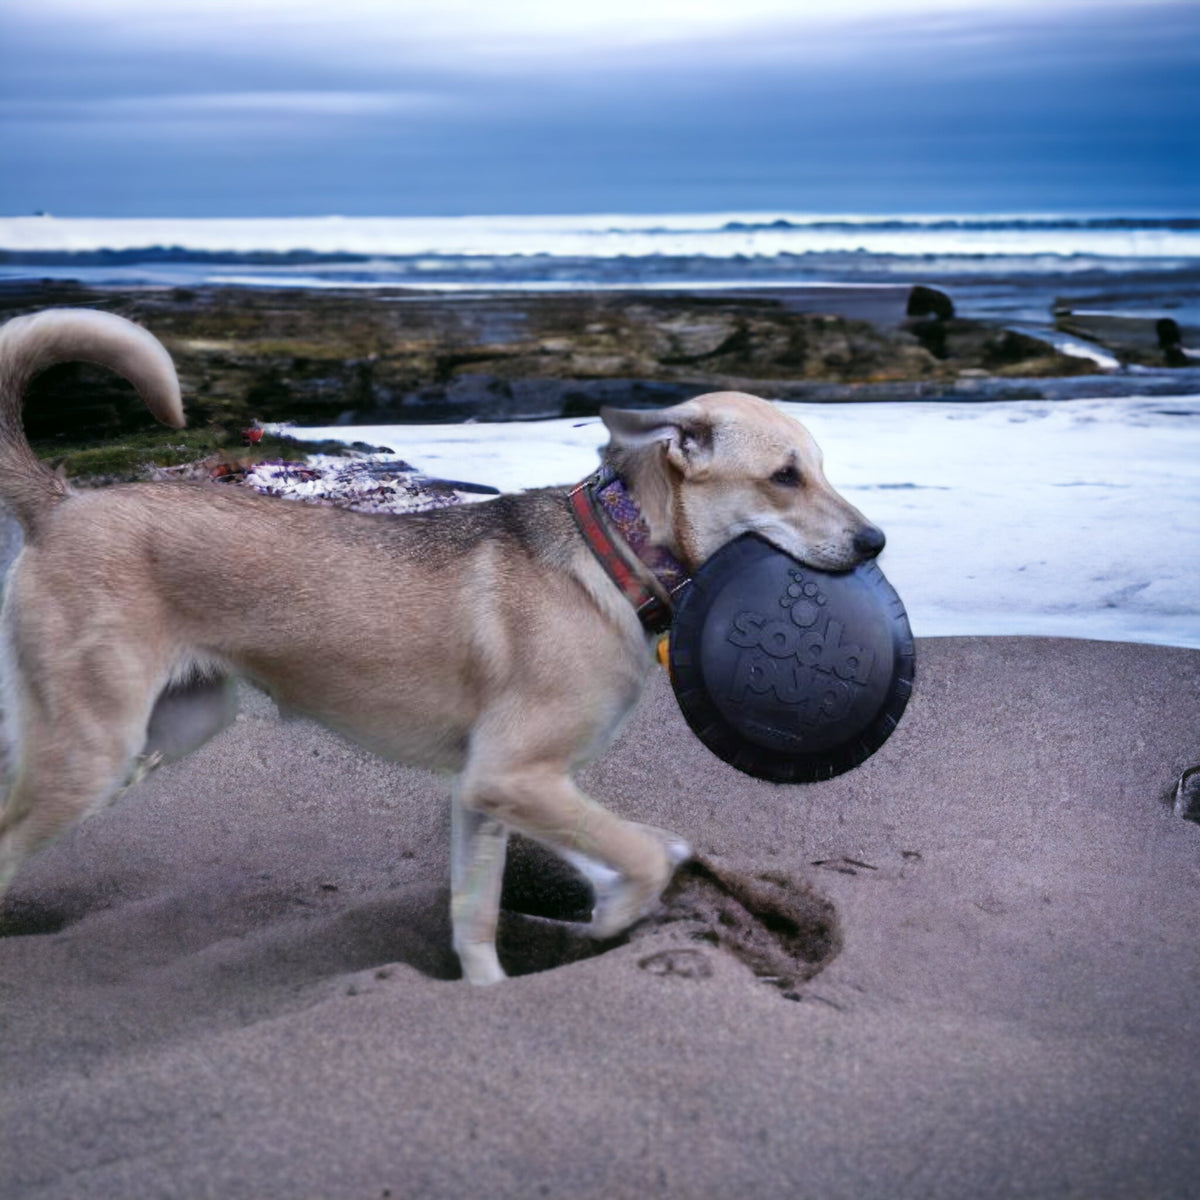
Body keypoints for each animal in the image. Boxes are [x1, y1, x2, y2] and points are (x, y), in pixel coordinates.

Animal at [0, 309, 883, 984]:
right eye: (785, 477)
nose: (874, 542)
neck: (616, 555)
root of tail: (62, 501)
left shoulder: (484, 793)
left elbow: (480, 916)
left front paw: (491, 992)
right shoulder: (511, 774)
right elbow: (642, 854)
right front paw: (614, 915)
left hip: (171, 728)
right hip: (93, 751)